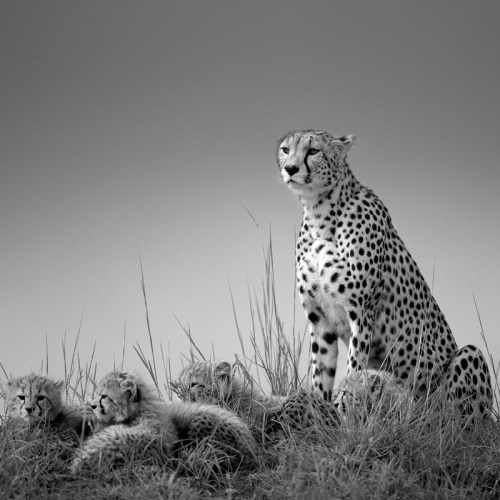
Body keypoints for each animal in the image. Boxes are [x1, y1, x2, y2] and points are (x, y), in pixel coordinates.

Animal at [278, 130, 492, 418]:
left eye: (313, 151)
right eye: (285, 149)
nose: (290, 168)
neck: (319, 214)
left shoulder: (361, 312)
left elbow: (355, 367)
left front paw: (346, 407)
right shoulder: (319, 319)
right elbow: (319, 373)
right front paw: (318, 409)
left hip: (468, 359)